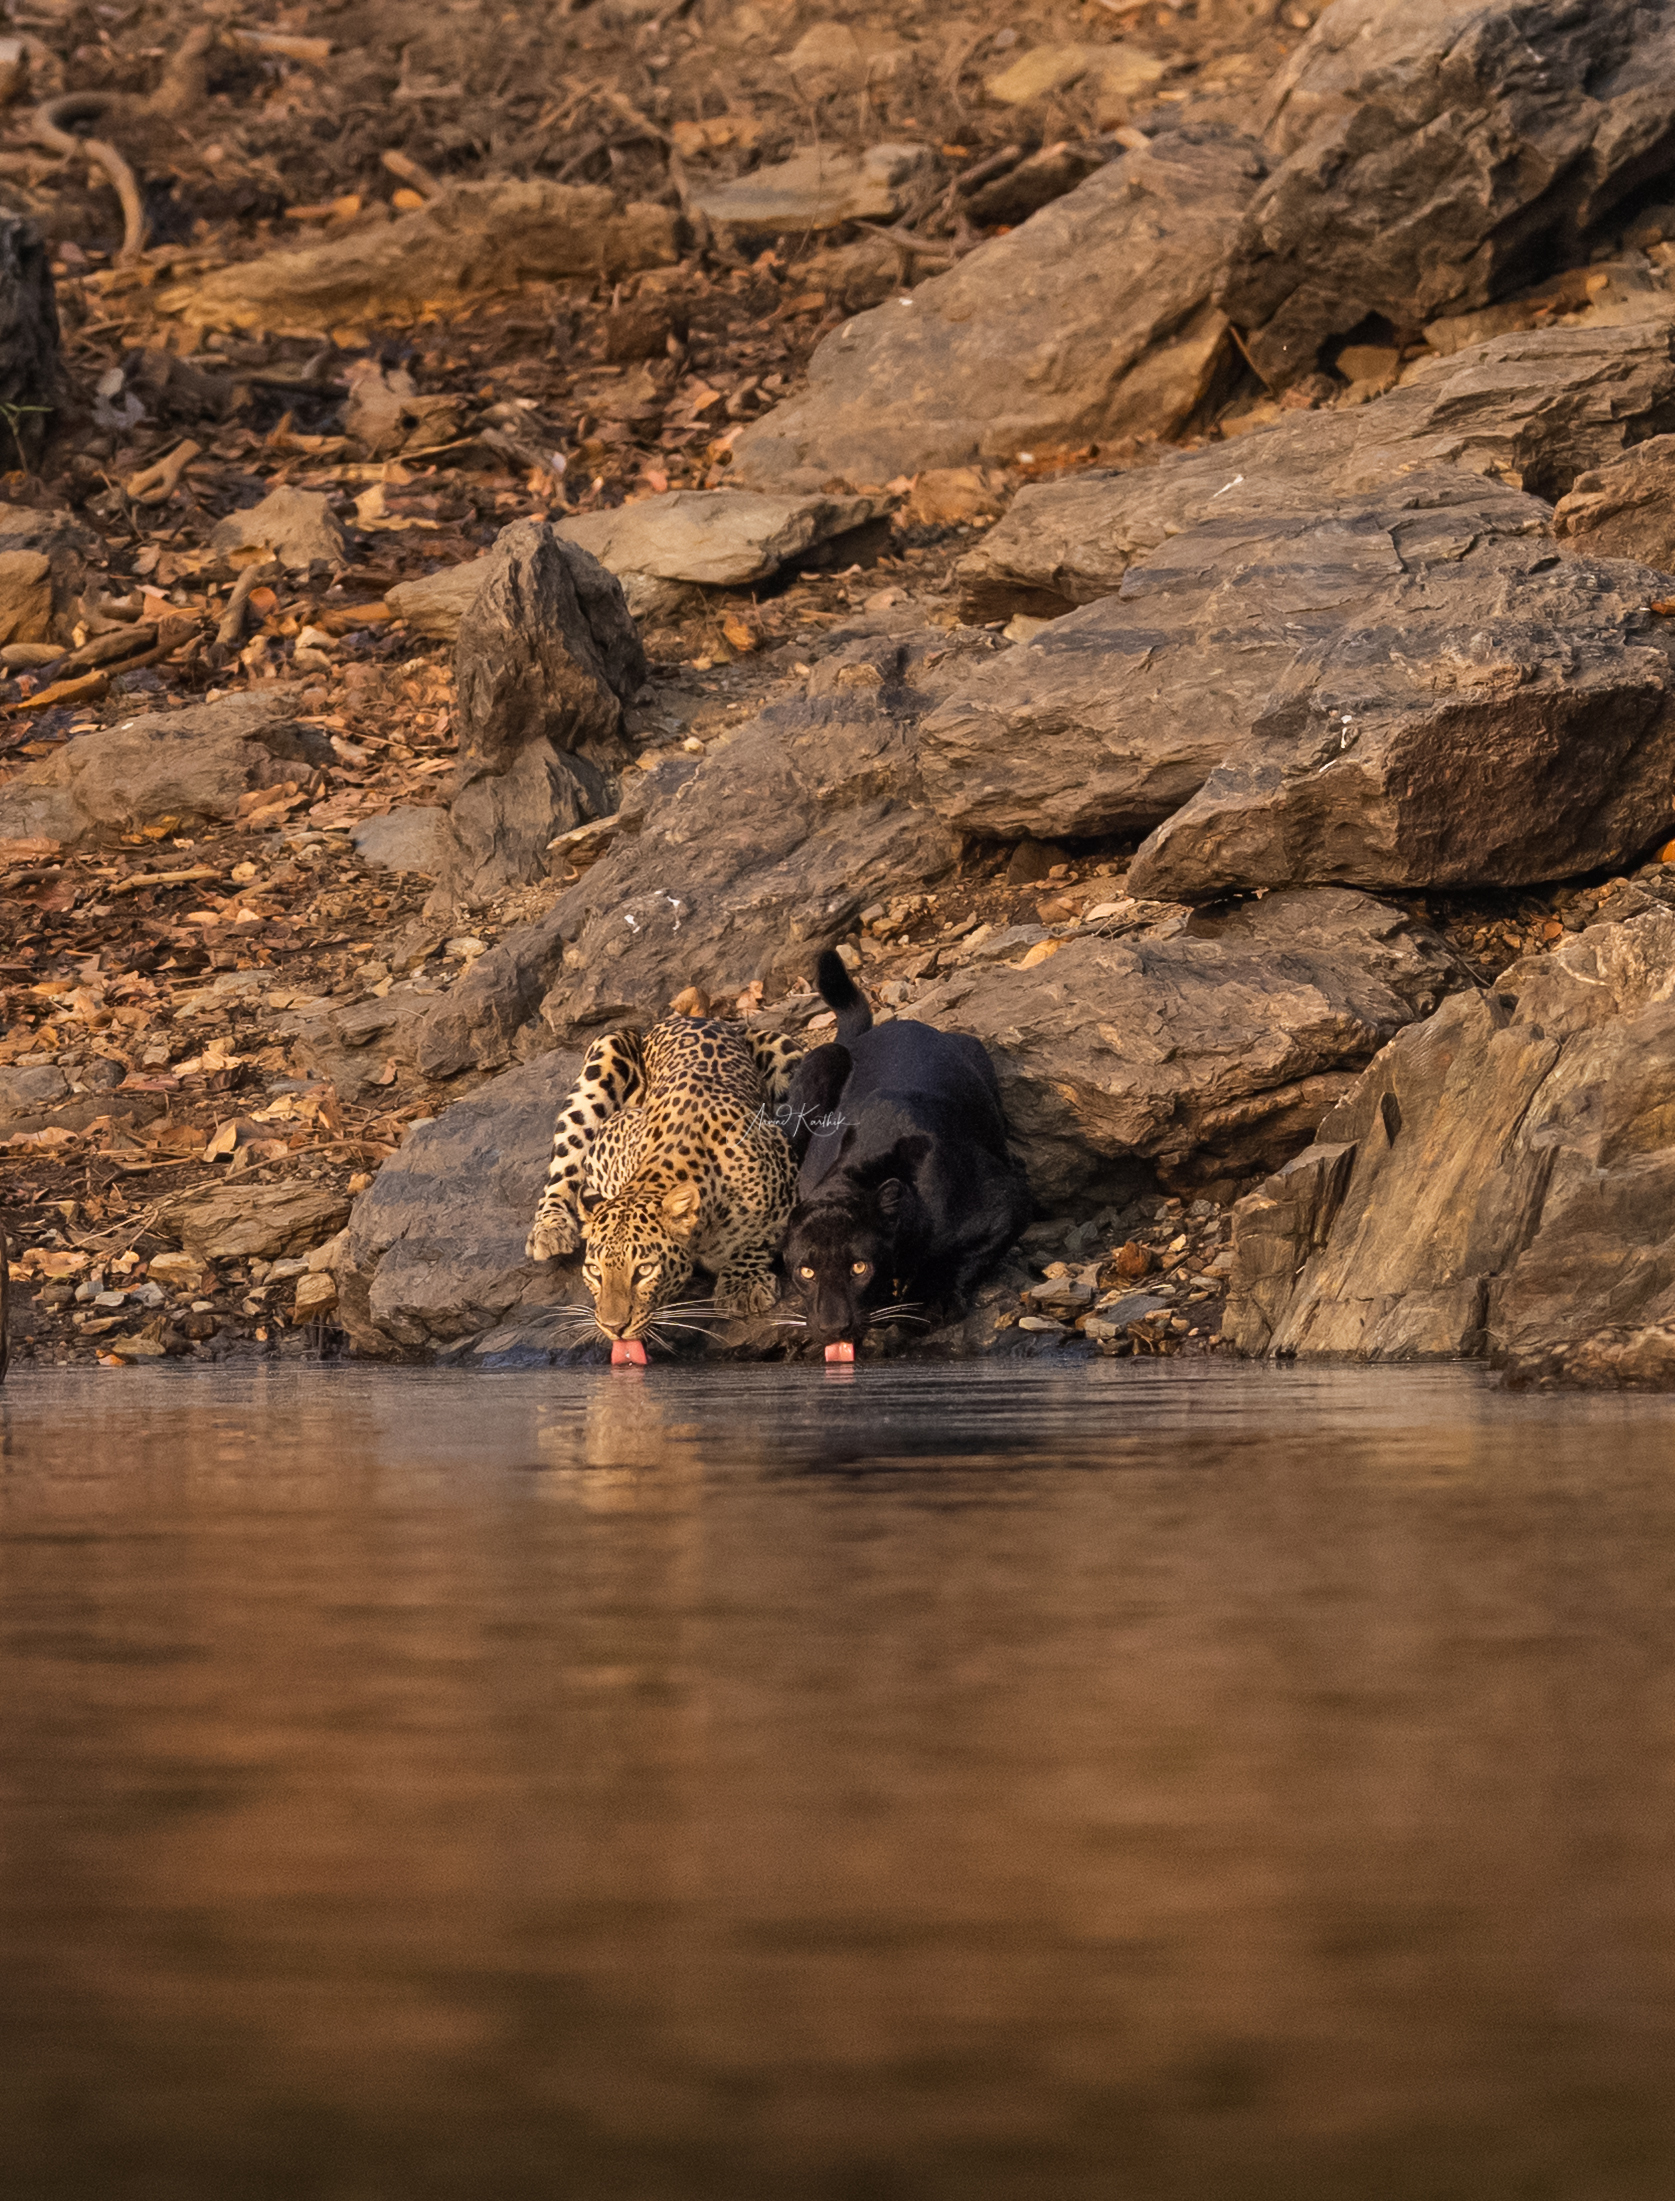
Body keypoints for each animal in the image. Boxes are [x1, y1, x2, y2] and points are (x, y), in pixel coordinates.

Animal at [526, 1014, 805, 1346]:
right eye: (595, 1271)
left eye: (644, 1270)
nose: (613, 1327)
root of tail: (699, 1017)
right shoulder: (605, 1147)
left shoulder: (785, 1162)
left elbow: (761, 1234)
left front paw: (743, 1284)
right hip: (602, 1059)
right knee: (562, 1166)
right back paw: (550, 1229)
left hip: (788, 1052)